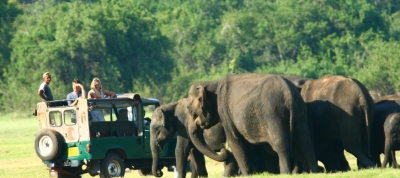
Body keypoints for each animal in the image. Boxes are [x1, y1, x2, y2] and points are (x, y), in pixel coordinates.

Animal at [186, 73, 318, 175]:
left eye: (189, 110)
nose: (223, 149)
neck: (213, 83)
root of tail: (288, 93)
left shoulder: (225, 112)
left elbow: (235, 140)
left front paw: (246, 174)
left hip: (272, 114)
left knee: (281, 144)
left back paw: (285, 173)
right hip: (300, 111)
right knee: (305, 140)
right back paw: (313, 171)